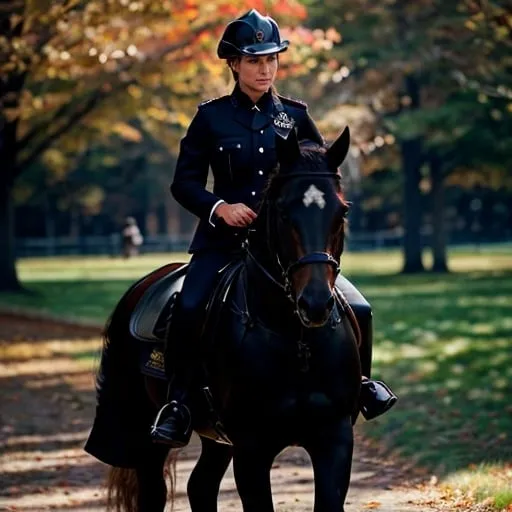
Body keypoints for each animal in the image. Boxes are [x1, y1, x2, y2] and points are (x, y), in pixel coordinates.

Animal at [86, 129, 362, 512]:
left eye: (342, 211)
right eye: (282, 211)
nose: (316, 303)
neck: (295, 339)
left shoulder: (334, 440)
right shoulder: (252, 448)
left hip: (216, 438)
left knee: (200, 486)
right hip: (144, 434)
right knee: (154, 492)